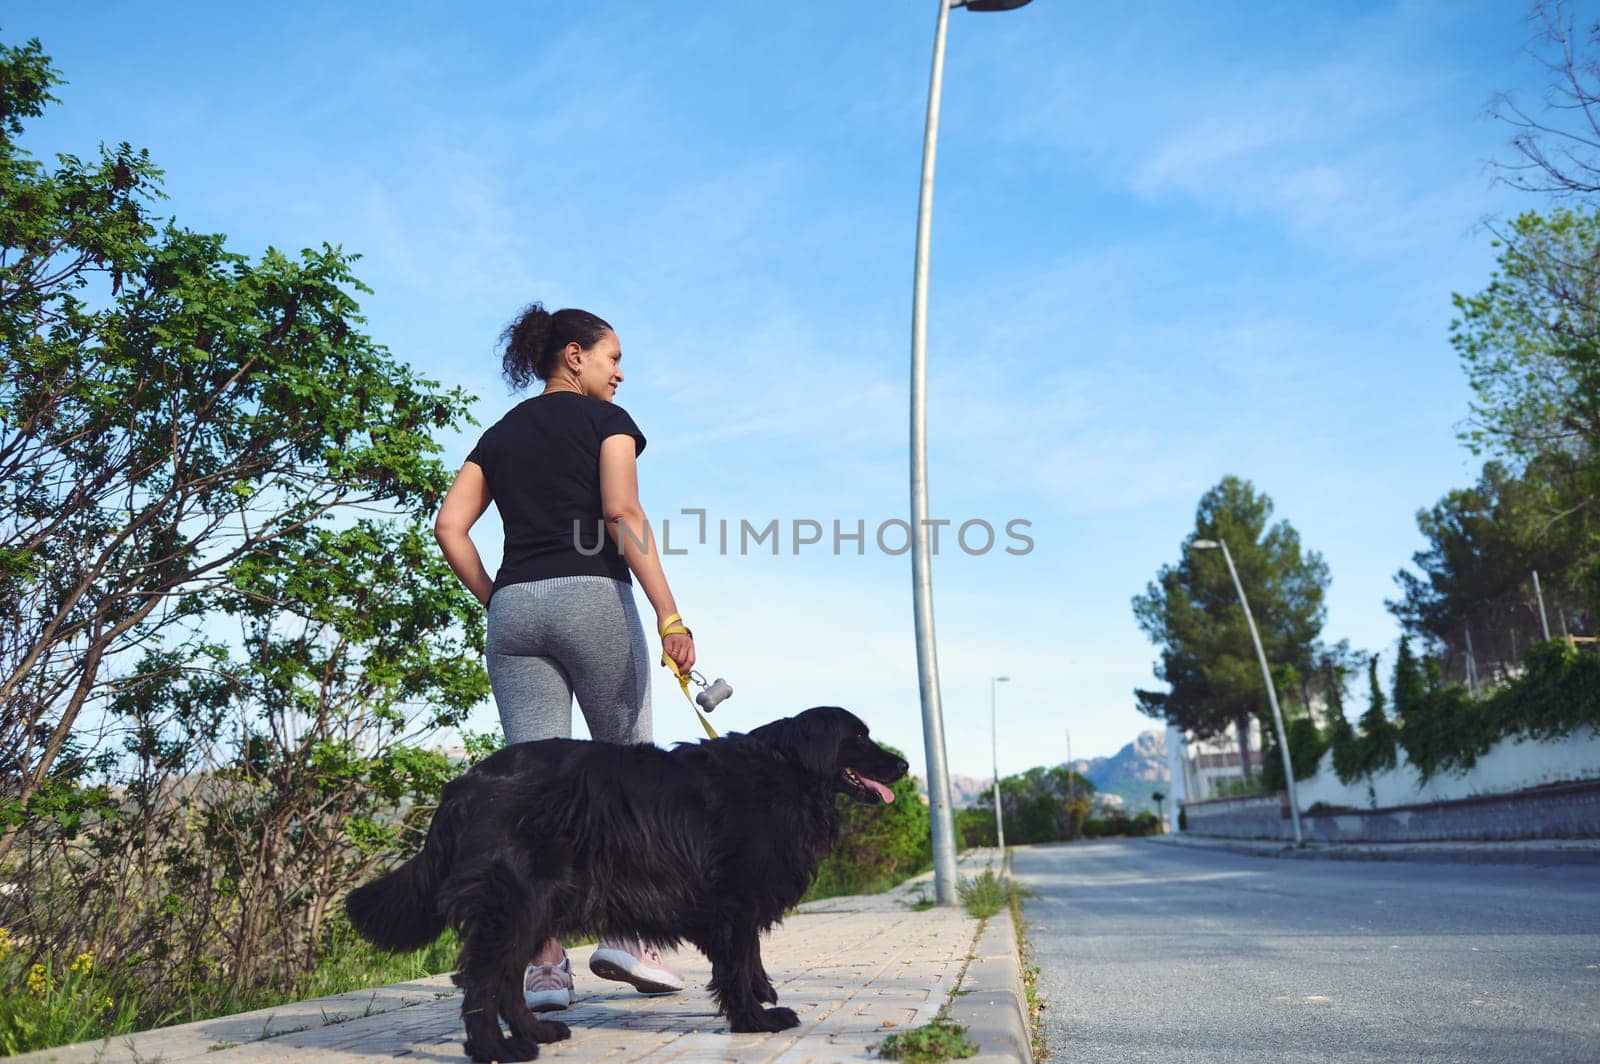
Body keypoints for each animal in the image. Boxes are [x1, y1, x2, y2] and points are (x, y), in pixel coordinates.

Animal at [345, 700, 908, 1056]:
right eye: (858, 738)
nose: (903, 765)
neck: (787, 773)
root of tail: (463, 784)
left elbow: (748, 960)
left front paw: (756, 1005)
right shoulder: (732, 900)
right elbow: (737, 966)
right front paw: (754, 1020)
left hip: (533, 908)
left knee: (502, 979)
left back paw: (536, 1033)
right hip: (515, 902)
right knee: (482, 980)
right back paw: (495, 1050)